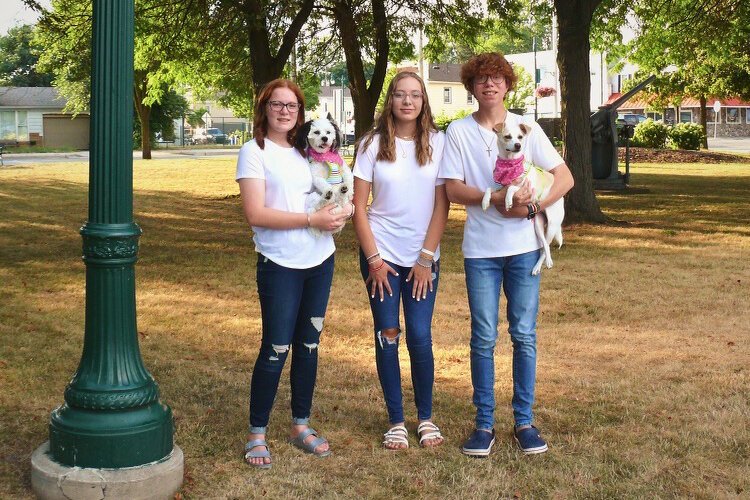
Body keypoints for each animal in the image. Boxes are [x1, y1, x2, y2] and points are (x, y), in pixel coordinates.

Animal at [484, 122, 568, 276]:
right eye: (507, 136)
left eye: (520, 137)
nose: (518, 145)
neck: (511, 163)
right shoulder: (499, 189)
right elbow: (489, 189)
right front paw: (485, 201)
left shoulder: (527, 189)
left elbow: (512, 188)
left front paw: (508, 201)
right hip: (538, 225)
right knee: (543, 245)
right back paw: (537, 267)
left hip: (552, 225)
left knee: (546, 247)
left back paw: (547, 262)